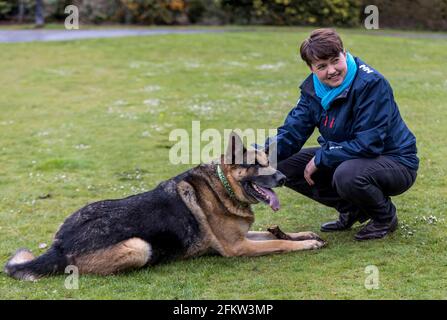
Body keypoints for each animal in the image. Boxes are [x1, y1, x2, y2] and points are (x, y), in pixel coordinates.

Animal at [3, 132, 326, 280]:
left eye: (268, 162)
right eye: (255, 166)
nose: (284, 178)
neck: (223, 187)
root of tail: (58, 245)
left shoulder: (242, 237)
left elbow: (274, 234)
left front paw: (304, 235)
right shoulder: (238, 247)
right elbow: (278, 244)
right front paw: (304, 245)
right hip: (139, 246)